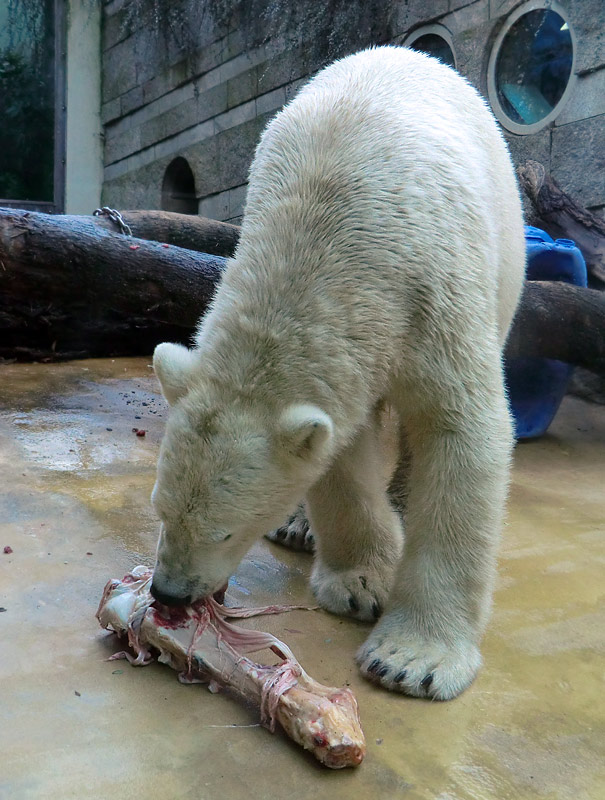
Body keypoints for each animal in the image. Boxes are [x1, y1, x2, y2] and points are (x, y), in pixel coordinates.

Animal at [150, 47, 524, 700]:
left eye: (226, 532)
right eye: (161, 510)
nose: (168, 593)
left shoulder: (435, 293)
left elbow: (461, 430)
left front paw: (411, 659)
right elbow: (339, 452)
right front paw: (359, 584)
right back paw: (301, 528)